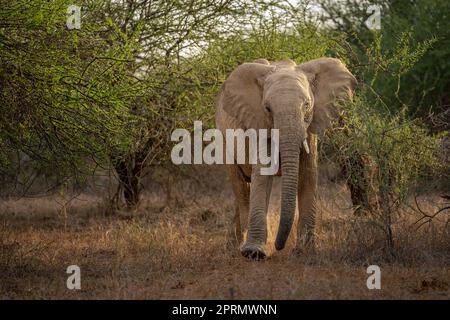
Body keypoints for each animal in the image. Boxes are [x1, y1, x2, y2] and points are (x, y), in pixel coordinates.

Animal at [216, 57, 356, 260]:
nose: (279, 246)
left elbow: (307, 176)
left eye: (307, 106)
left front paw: (305, 252)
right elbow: (262, 176)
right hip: (224, 139)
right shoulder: (260, 123)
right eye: (267, 108)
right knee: (240, 185)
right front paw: (253, 253)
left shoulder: (309, 130)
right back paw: (239, 246)